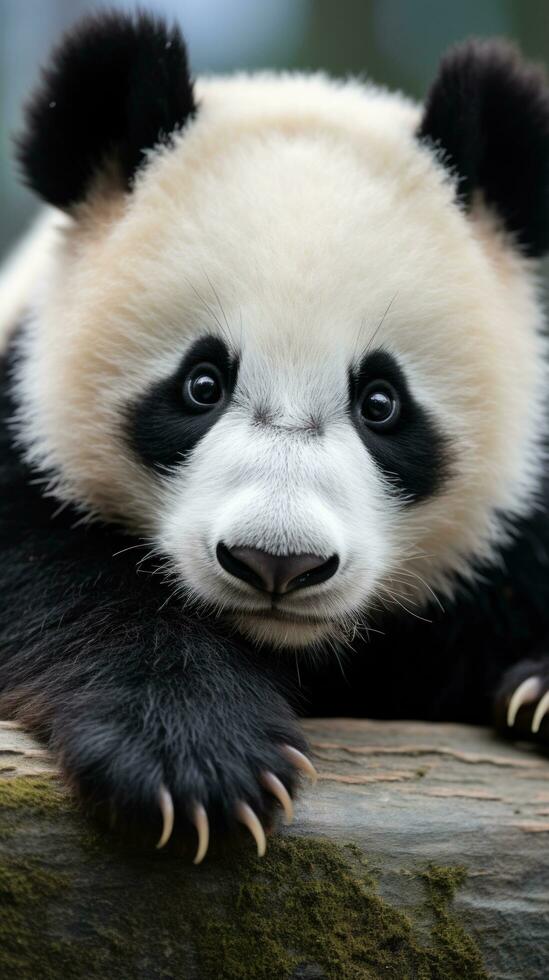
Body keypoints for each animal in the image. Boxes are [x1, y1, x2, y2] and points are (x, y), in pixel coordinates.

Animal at [1, 9, 548, 856]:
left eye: (381, 403)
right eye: (201, 384)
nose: (277, 563)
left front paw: (538, 693)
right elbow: (54, 580)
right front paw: (192, 757)